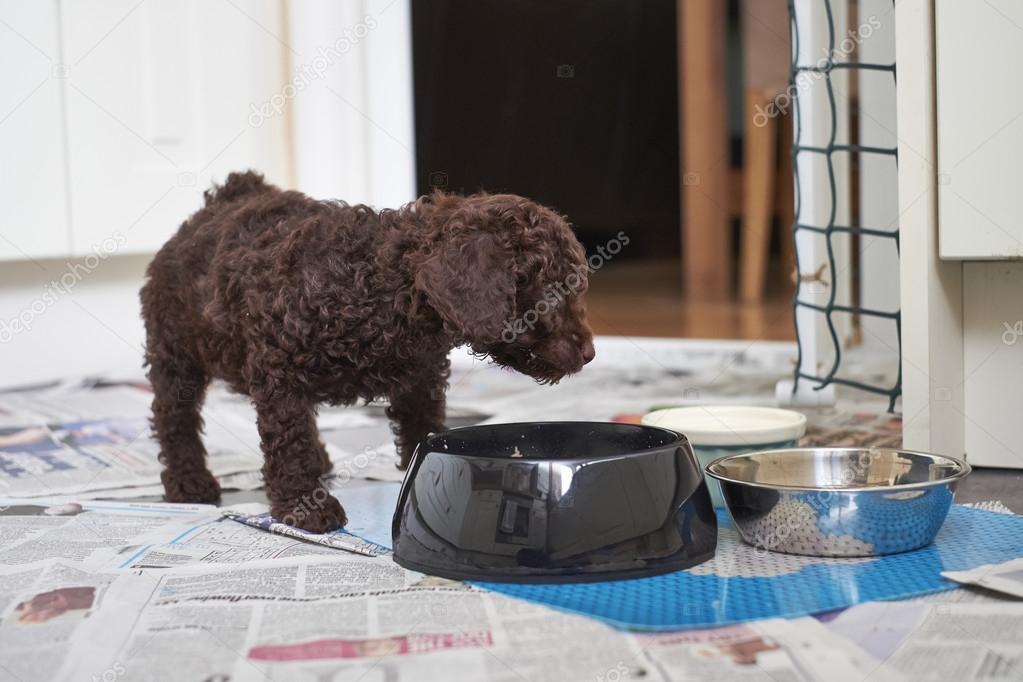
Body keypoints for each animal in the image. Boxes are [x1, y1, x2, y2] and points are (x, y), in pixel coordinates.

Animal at [140, 171, 597, 531]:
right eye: (553, 291)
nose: (591, 353)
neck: (383, 286)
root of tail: (221, 200)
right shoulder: (279, 373)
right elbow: (290, 441)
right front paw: (304, 507)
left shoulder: (421, 380)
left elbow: (421, 430)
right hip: (174, 349)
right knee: (174, 417)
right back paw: (188, 481)